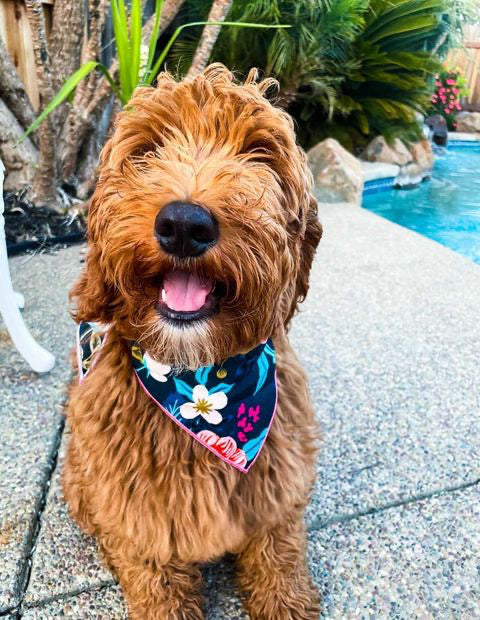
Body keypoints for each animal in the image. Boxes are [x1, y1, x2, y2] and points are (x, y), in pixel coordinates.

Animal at [62, 64, 320, 620]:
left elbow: (280, 556)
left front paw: (285, 602)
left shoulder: (276, 494)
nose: (184, 224)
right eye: (147, 149)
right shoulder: (141, 523)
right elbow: (156, 584)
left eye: (260, 154)